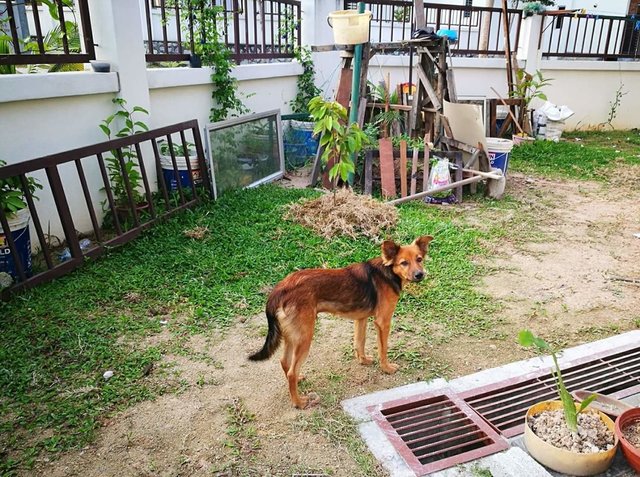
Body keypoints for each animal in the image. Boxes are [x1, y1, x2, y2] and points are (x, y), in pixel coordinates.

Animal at [248, 236, 432, 408]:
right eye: (404, 263)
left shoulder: (361, 318)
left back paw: (298, 380)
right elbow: (383, 349)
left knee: (285, 363)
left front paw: (363, 361)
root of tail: (281, 288)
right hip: (305, 336)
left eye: (419, 259)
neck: (388, 272)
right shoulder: (383, 322)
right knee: (291, 371)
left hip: (292, 335)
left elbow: (359, 343)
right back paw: (298, 402)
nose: (420, 275)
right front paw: (386, 368)